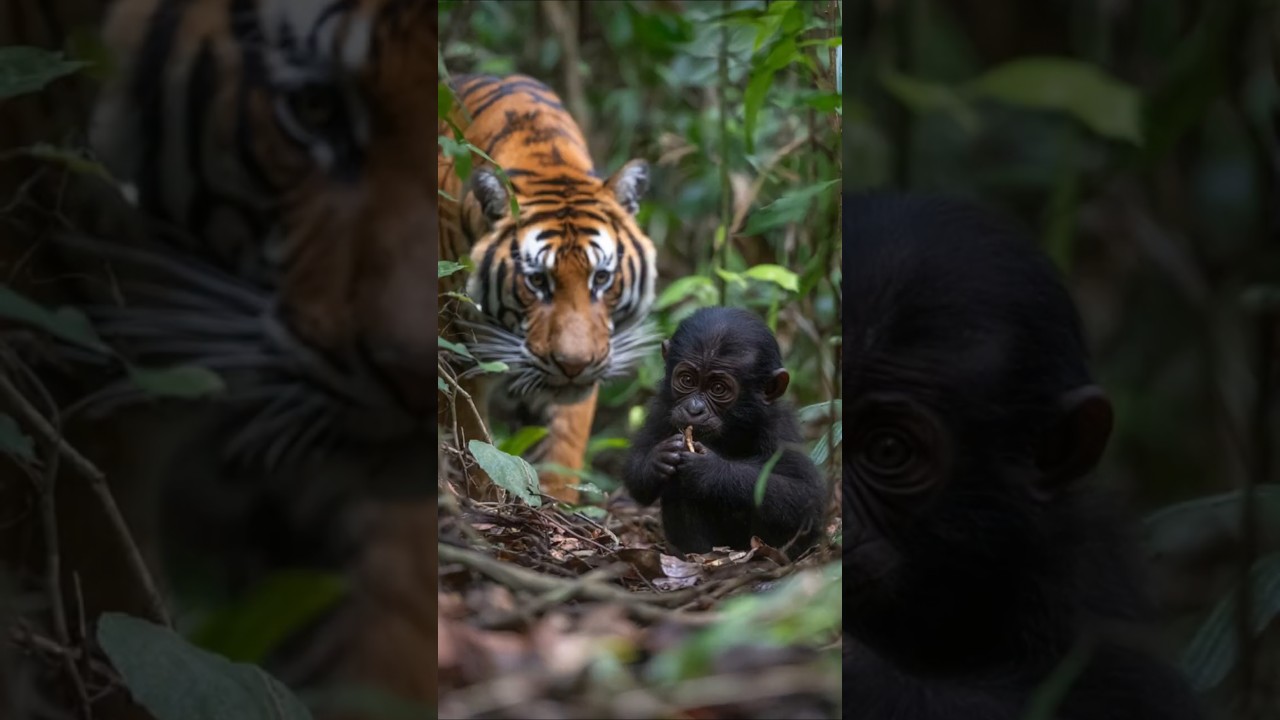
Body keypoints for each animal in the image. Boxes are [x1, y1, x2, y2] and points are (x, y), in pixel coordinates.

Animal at [437, 73, 658, 505]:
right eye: (537, 281)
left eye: (601, 278)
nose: (573, 365)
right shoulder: (455, 348)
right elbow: (475, 439)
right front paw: (488, 496)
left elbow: (560, 454)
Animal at [623, 307, 826, 558]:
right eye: (687, 380)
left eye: (718, 388)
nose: (694, 409)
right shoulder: (662, 408)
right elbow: (636, 470)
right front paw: (658, 458)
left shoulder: (779, 426)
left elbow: (805, 494)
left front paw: (709, 468)